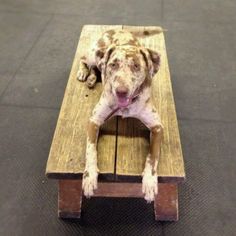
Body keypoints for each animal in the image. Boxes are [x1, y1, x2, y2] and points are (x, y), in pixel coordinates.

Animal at [76, 28, 163, 203]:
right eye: (113, 64)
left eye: (136, 66)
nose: (120, 91)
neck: (126, 107)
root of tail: (117, 28)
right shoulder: (94, 121)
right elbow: (90, 150)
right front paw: (89, 177)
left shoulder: (157, 126)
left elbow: (153, 155)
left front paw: (150, 181)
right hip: (94, 53)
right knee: (84, 59)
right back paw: (84, 72)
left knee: (96, 68)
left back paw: (92, 78)